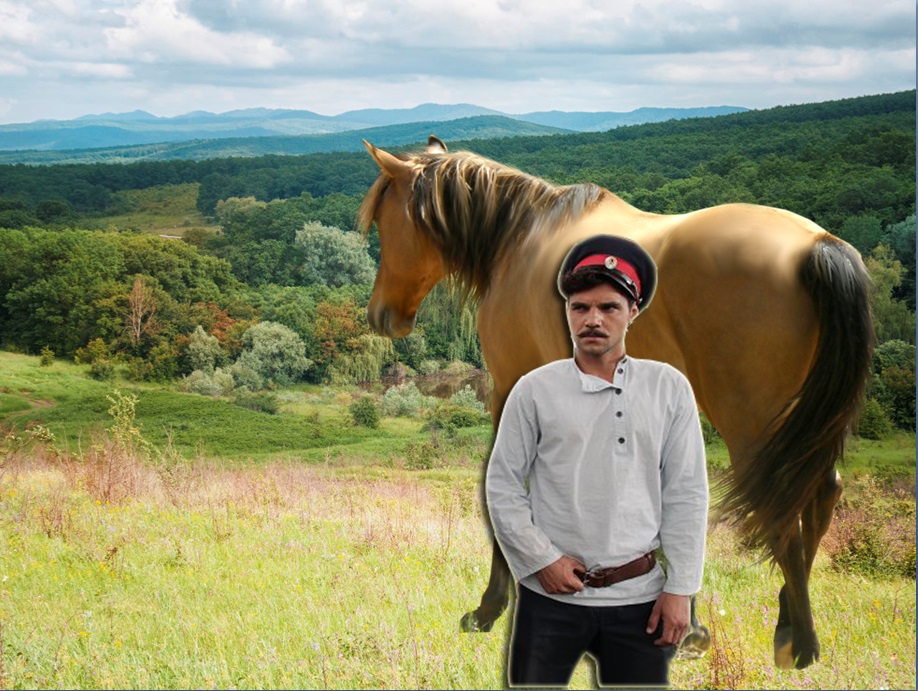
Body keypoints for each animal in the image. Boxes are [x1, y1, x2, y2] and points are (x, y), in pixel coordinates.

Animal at [357, 135, 874, 670]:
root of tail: (817, 245)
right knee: (821, 493)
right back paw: (786, 619)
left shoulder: (511, 389)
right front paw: (682, 623)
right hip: (801, 422)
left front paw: (490, 608)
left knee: (784, 511)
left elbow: (509, 494)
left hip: (752, 423)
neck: (518, 239)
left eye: (383, 225)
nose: (380, 316)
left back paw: (800, 644)